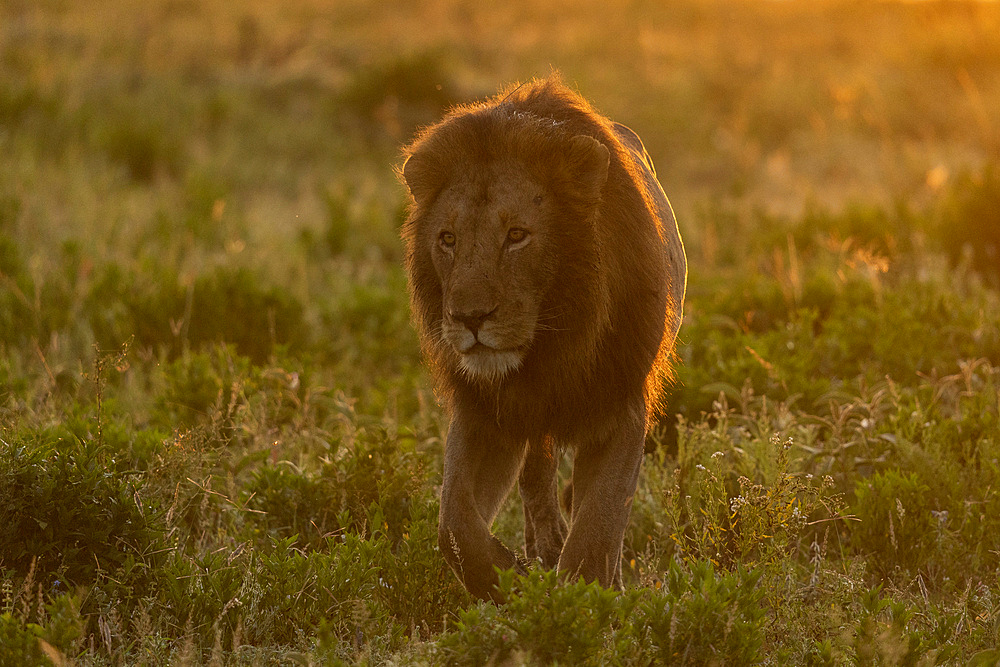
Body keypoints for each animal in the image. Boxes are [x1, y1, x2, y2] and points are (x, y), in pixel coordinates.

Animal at [398, 77, 688, 600]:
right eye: (447, 239)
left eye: (517, 235)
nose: (470, 318)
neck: (549, 349)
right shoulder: (483, 412)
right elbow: (455, 526)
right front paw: (511, 582)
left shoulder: (621, 407)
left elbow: (597, 529)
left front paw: (579, 603)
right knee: (537, 475)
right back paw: (543, 547)